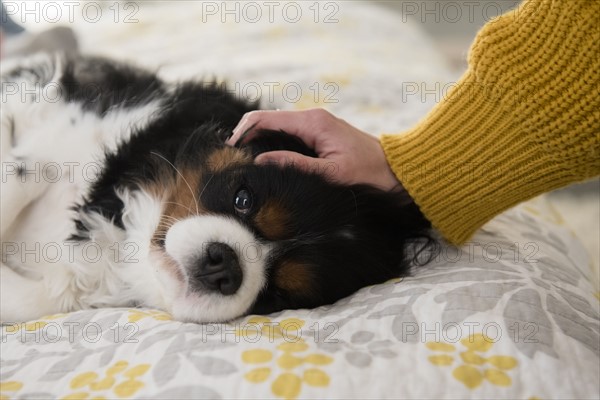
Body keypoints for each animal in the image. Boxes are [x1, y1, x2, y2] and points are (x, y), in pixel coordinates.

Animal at [0, 54, 432, 322]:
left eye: (279, 294)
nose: (224, 265)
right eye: (243, 198)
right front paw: (25, 161)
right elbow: (25, 166)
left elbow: (32, 299)